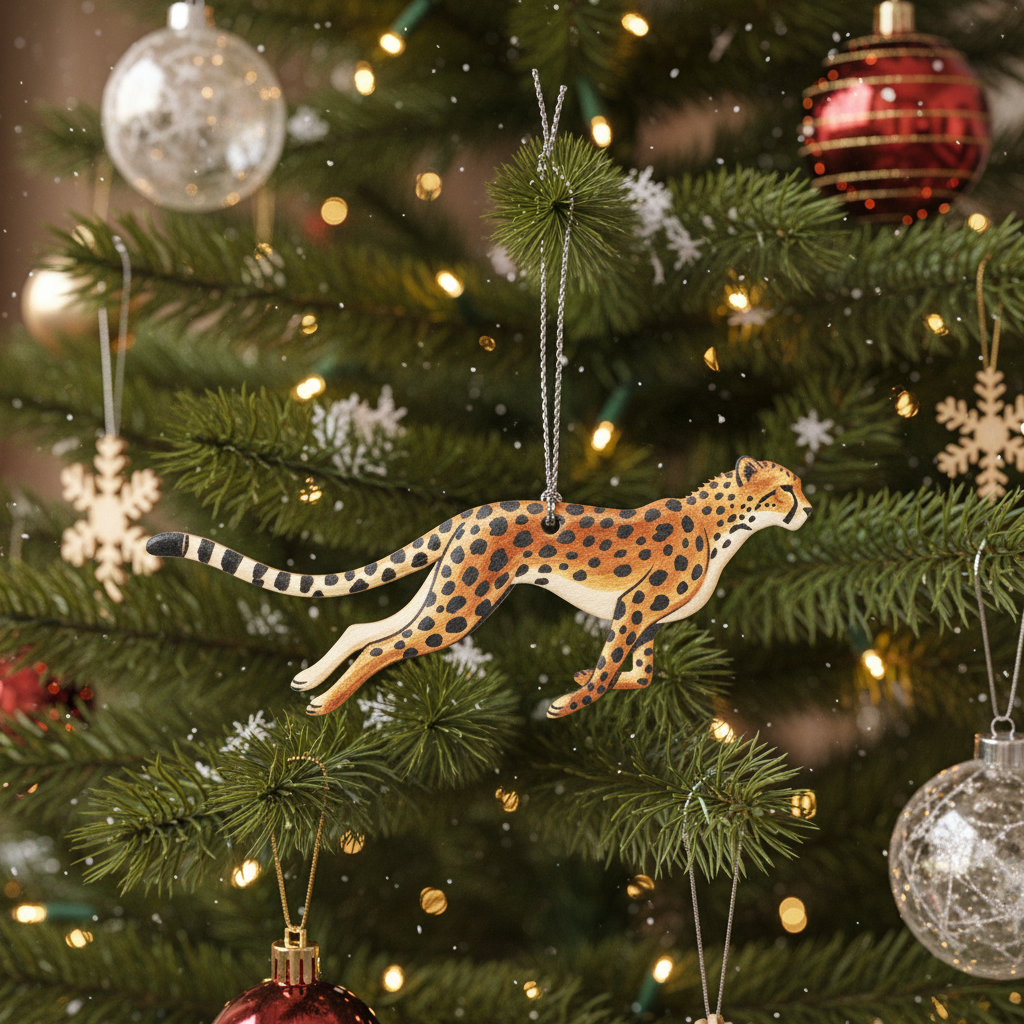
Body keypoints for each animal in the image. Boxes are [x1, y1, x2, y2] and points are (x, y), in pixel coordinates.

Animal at [146, 456, 811, 718]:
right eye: (785, 489)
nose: (807, 509)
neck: (725, 526)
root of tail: (474, 510)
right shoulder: (633, 608)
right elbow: (608, 671)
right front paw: (571, 701)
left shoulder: (642, 617)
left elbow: (642, 674)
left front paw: (590, 681)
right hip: (464, 604)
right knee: (386, 647)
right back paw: (329, 703)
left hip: (439, 590)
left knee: (365, 625)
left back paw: (311, 679)